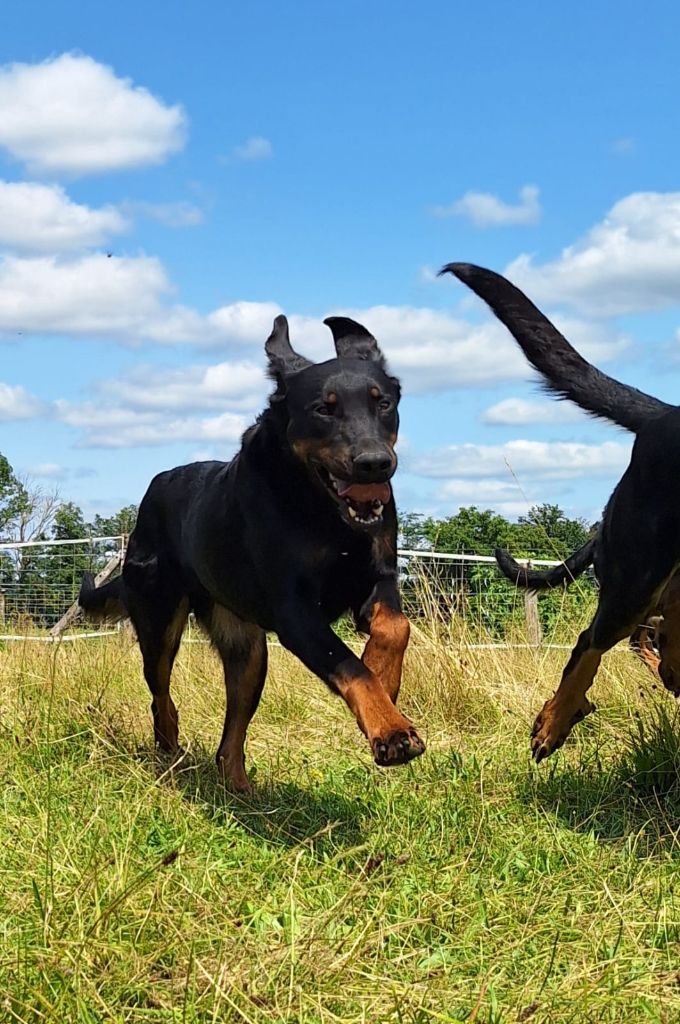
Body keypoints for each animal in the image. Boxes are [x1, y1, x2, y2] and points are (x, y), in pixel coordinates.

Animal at [76, 315, 421, 786]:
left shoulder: (377, 577)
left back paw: (239, 789)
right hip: (159, 620)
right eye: (323, 409)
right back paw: (169, 749)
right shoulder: (295, 613)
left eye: (382, 403)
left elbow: (395, 627)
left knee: (230, 737)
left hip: (249, 652)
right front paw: (391, 730)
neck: (321, 510)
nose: (374, 463)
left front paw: (386, 681)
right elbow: (350, 665)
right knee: (160, 692)